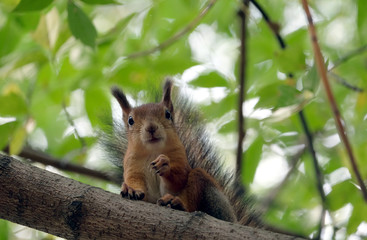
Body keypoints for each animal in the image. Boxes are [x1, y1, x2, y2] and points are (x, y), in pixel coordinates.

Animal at [105, 78, 264, 226]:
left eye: (168, 114)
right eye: (130, 120)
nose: (151, 127)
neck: (153, 151)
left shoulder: (180, 158)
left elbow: (178, 180)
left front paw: (165, 164)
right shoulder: (133, 165)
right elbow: (136, 182)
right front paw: (130, 189)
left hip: (210, 193)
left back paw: (178, 204)